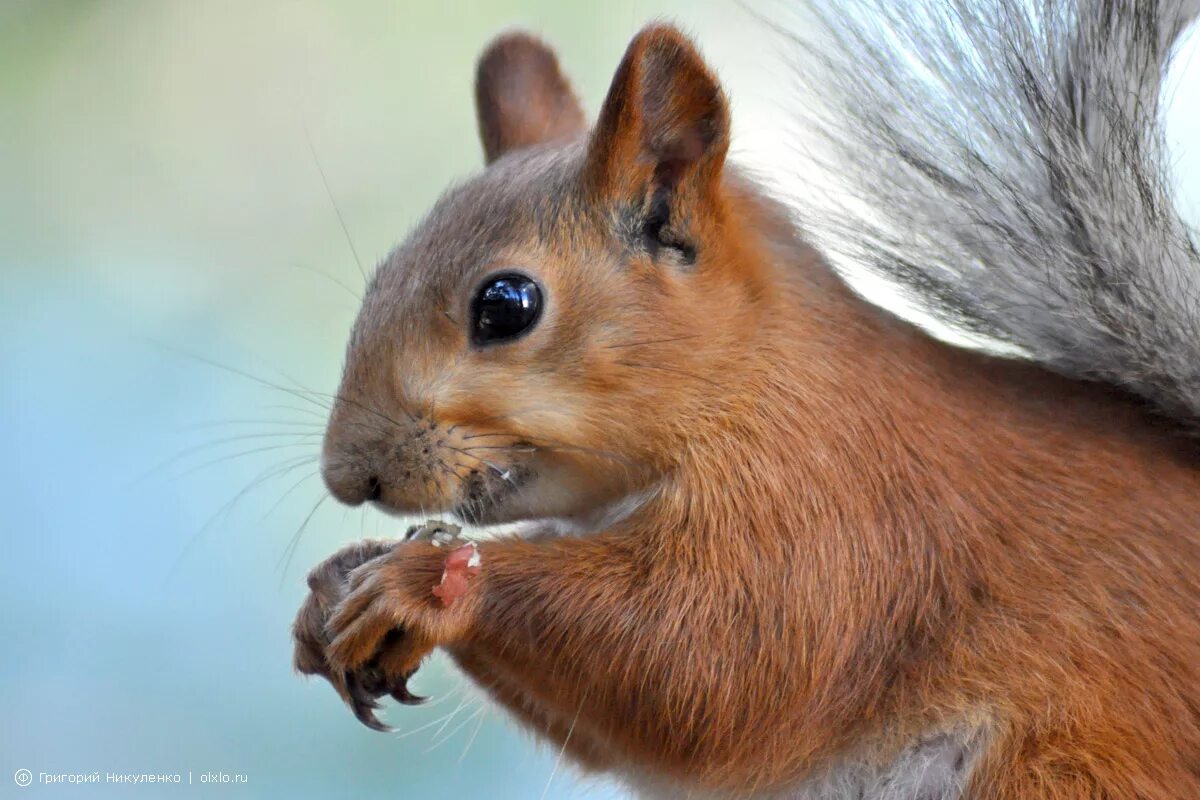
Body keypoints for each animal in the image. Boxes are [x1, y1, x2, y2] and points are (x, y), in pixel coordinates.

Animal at [288, 3, 1200, 796]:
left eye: (506, 305)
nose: (348, 476)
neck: (750, 380)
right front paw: (338, 582)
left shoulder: (837, 509)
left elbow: (716, 664)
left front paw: (426, 582)